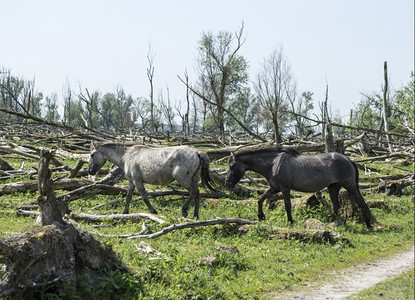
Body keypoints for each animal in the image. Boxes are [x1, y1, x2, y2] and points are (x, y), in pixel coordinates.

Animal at [226, 145, 376, 230]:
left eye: (232, 165)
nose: (227, 184)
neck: (273, 162)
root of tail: (349, 160)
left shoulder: (284, 188)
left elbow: (287, 206)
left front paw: (290, 222)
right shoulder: (274, 188)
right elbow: (260, 199)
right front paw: (261, 216)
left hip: (350, 186)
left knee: (361, 203)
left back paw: (368, 225)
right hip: (333, 187)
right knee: (336, 205)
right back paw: (332, 223)